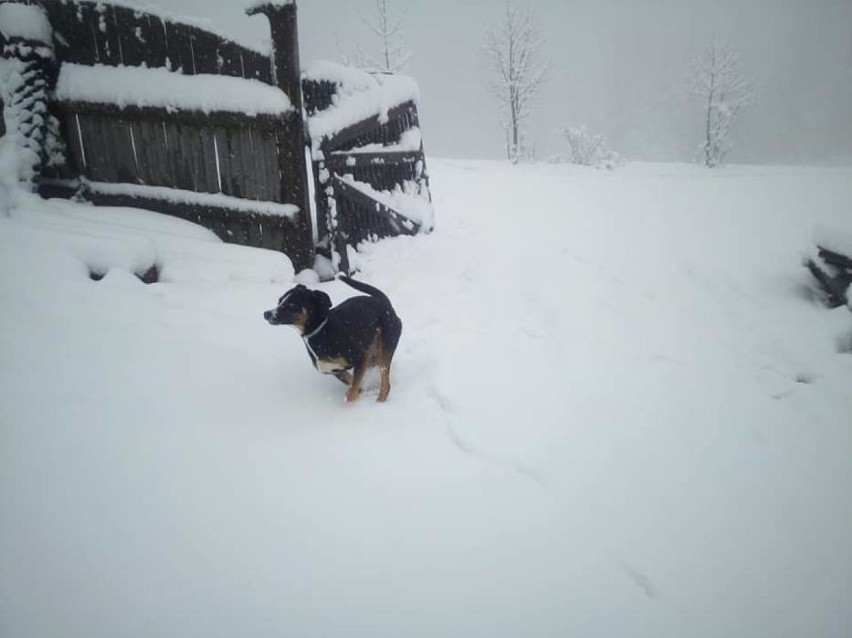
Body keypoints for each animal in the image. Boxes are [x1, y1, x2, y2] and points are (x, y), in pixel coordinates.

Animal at [262, 276, 402, 404]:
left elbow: (351, 393)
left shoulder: (361, 357)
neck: (322, 330)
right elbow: (355, 384)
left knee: (385, 380)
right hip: (373, 354)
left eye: (292, 304)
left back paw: (380, 401)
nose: (266, 314)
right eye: (279, 300)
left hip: (386, 346)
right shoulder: (336, 370)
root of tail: (383, 301)